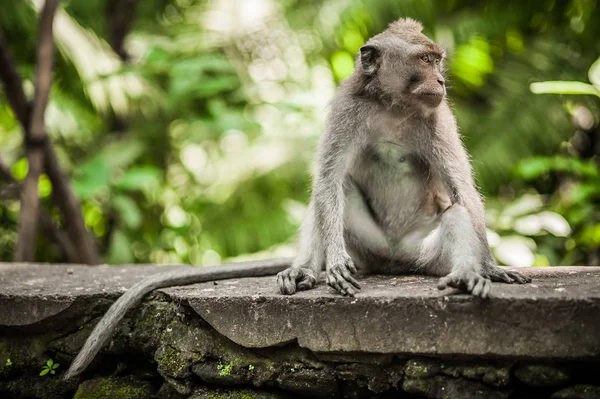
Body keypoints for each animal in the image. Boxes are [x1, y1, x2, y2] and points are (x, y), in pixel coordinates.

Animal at [65, 18, 532, 382]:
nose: (440, 81)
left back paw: (466, 274)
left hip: (422, 256)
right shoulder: (347, 109)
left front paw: (490, 267)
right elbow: (327, 181)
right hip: (367, 248)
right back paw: (307, 270)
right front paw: (330, 266)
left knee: (452, 216)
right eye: (425, 60)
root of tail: (393, 262)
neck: (392, 105)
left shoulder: (439, 116)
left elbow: (462, 190)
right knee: (334, 195)